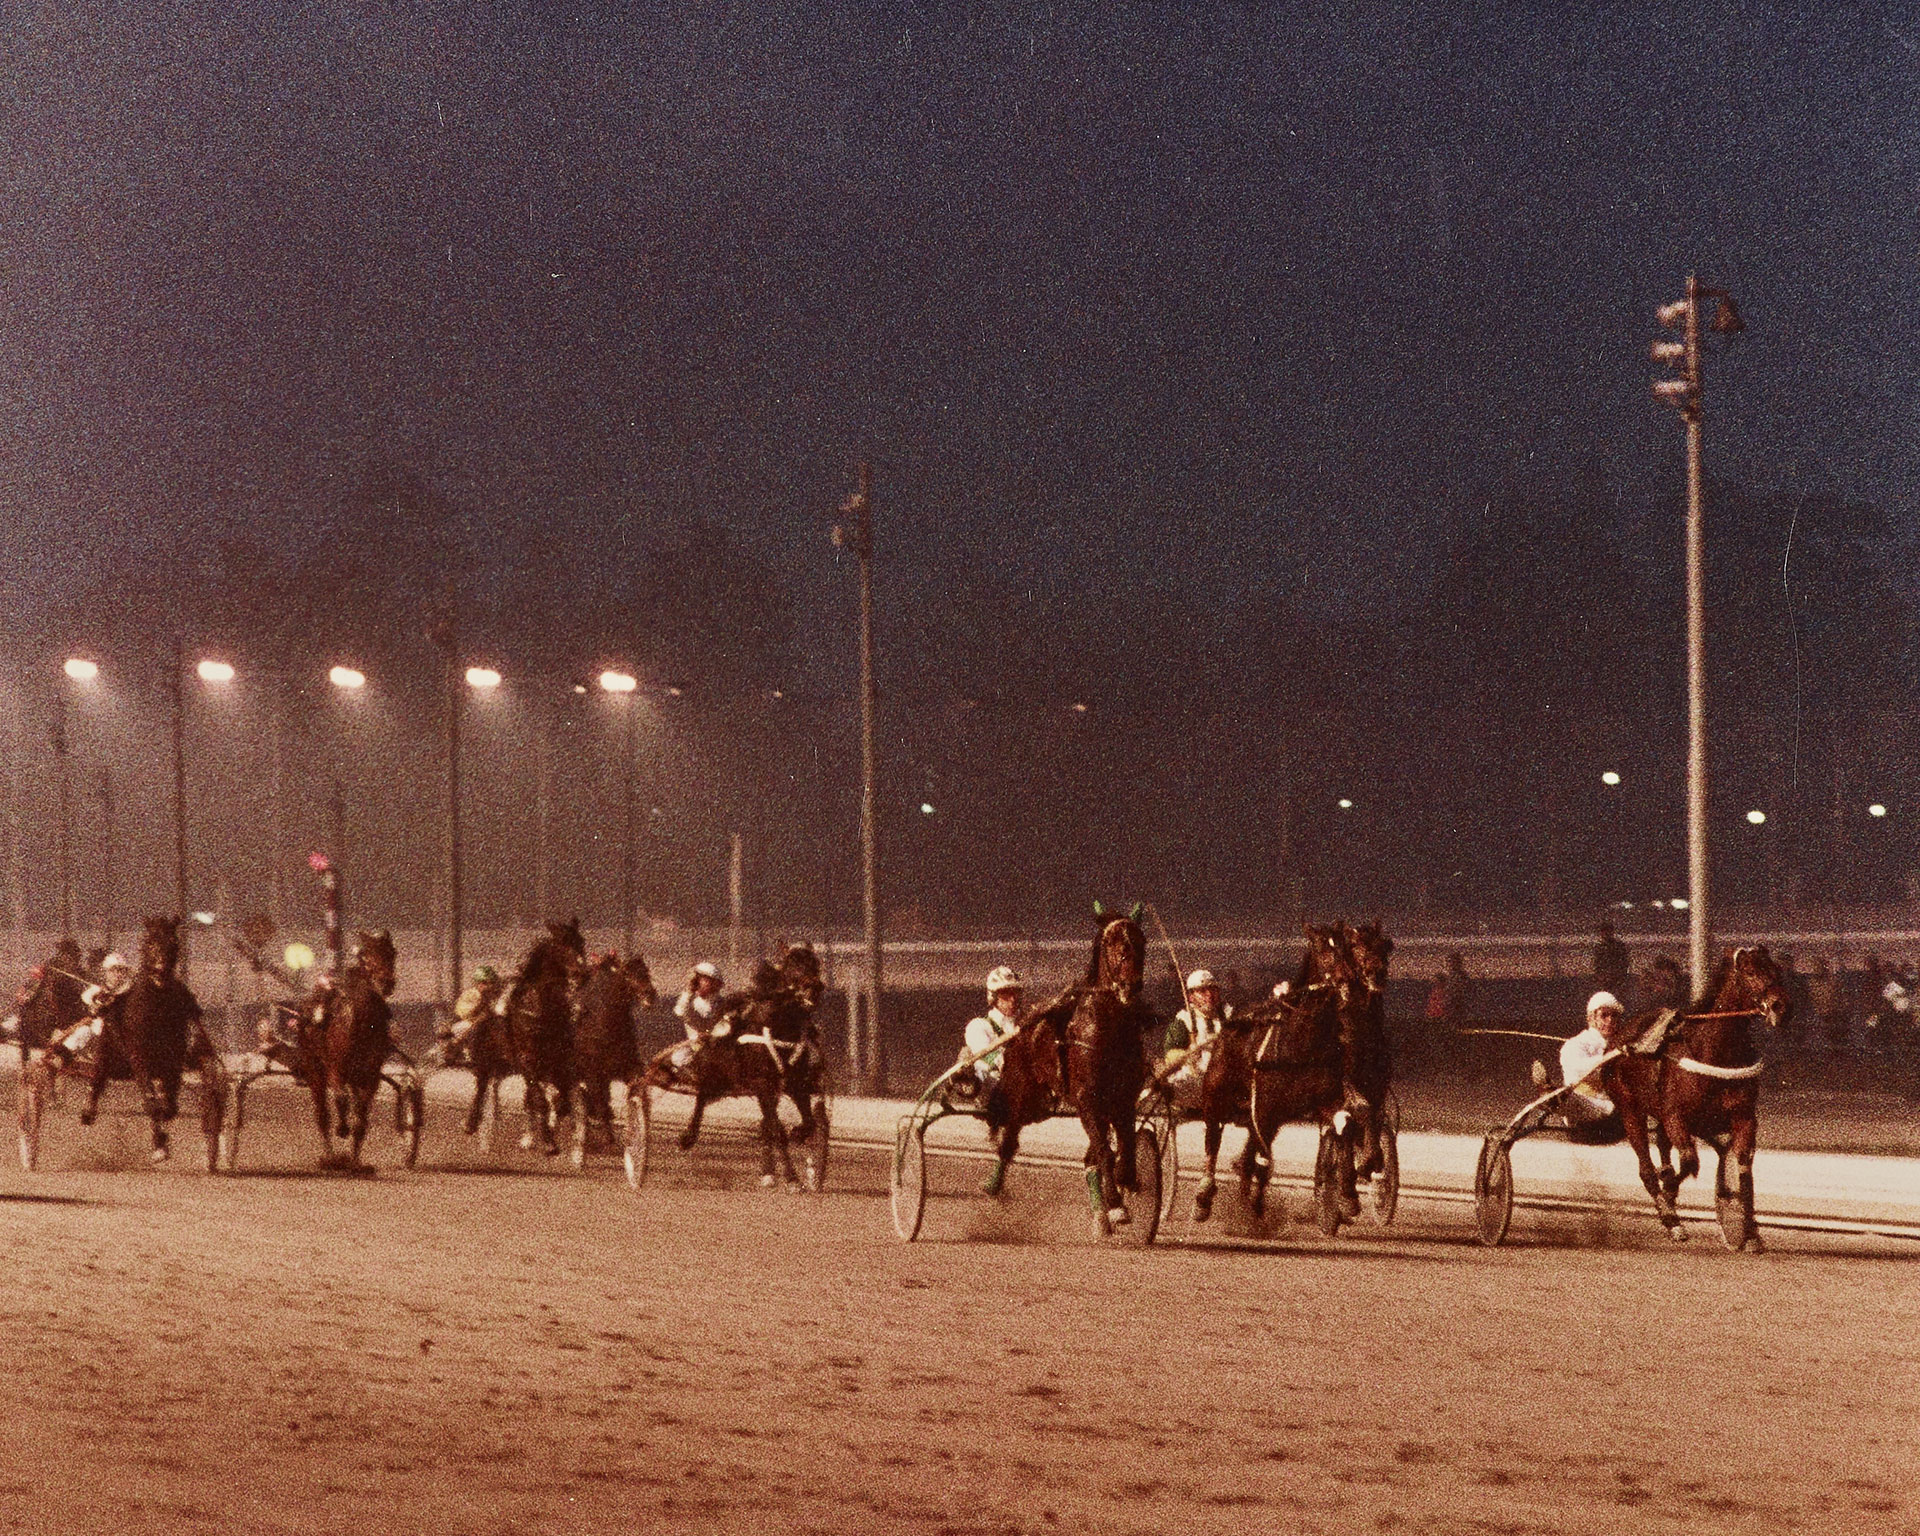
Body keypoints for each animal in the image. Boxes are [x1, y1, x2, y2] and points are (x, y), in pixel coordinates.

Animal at [84, 913, 224, 1167]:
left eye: (174, 943)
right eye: (149, 942)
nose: (159, 971)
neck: (156, 1010)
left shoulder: (173, 1060)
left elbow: (170, 1104)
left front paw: (165, 1128)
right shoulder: (139, 1058)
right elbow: (150, 1101)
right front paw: (160, 1144)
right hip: (107, 1050)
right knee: (98, 1076)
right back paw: (88, 1110)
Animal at [289, 929, 395, 1167]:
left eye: (392, 953)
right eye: (366, 955)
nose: (386, 983)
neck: (362, 1024)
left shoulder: (370, 1075)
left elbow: (361, 1114)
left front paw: (355, 1159)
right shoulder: (335, 1069)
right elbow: (340, 1098)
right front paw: (342, 1129)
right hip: (314, 1070)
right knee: (322, 1115)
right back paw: (329, 1155)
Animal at [564, 952, 656, 1167]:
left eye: (645, 971)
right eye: (627, 973)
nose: (649, 994)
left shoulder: (627, 1068)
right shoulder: (592, 1072)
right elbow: (599, 1103)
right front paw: (605, 1139)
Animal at [1597, 940, 1789, 1251]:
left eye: (1777, 969)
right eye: (1750, 971)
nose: (1781, 1006)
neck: (1716, 1051)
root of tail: (1617, 1039)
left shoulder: (1743, 1116)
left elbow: (1743, 1168)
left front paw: (1749, 1231)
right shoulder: (1676, 1116)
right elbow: (1689, 1161)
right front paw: (1669, 1203)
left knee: (1664, 1147)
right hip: (1630, 1109)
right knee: (1646, 1167)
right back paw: (1669, 1214)